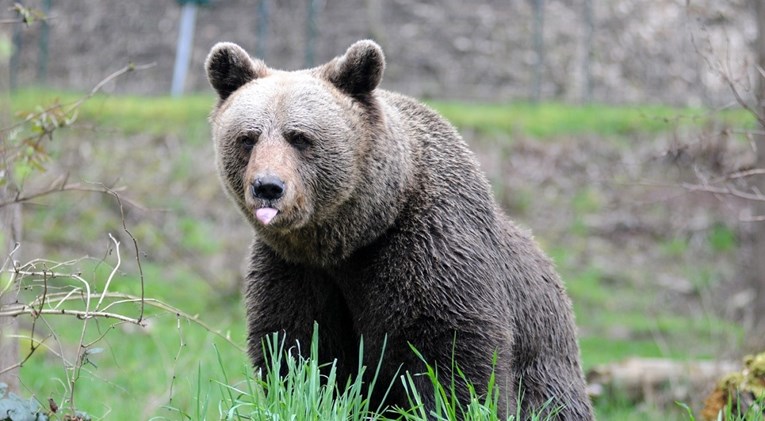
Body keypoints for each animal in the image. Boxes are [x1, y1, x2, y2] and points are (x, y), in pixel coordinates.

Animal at [203, 38, 592, 416]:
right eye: (248, 137)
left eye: (299, 137)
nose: (268, 187)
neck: (355, 235)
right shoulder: (294, 270)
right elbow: (297, 350)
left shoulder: (429, 250)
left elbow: (451, 356)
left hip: (546, 367)